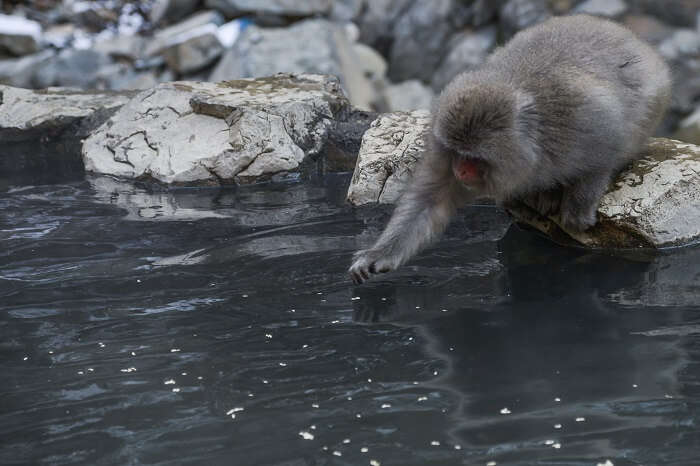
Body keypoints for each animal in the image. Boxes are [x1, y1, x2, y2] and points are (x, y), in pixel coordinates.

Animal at [350, 15, 672, 284]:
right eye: (457, 153)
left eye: (473, 157)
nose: (460, 170)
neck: (532, 143)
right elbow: (430, 200)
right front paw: (379, 255)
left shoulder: (585, 120)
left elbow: (607, 149)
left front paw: (579, 206)